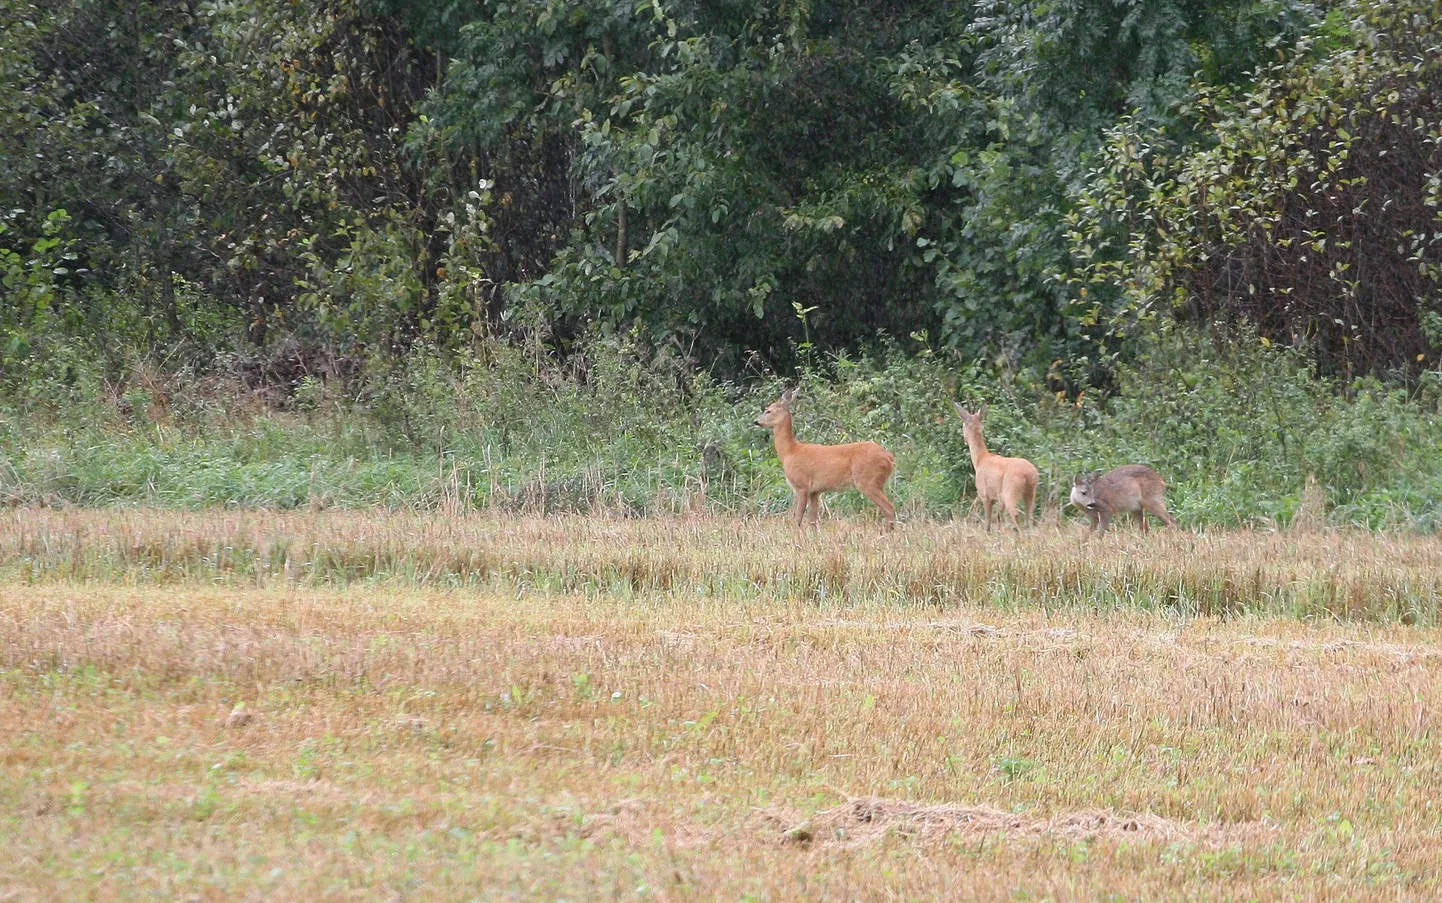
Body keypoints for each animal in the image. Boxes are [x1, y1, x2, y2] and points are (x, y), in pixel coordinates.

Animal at [761, 383, 894, 527]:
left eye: (768, 411)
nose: (757, 421)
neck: (790, 451)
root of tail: (889, 458)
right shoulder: (814, 491)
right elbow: (813, 520)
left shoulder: (801, 485)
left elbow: (798, 518)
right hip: (878, 482)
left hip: (867, 480)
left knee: (889, 507)